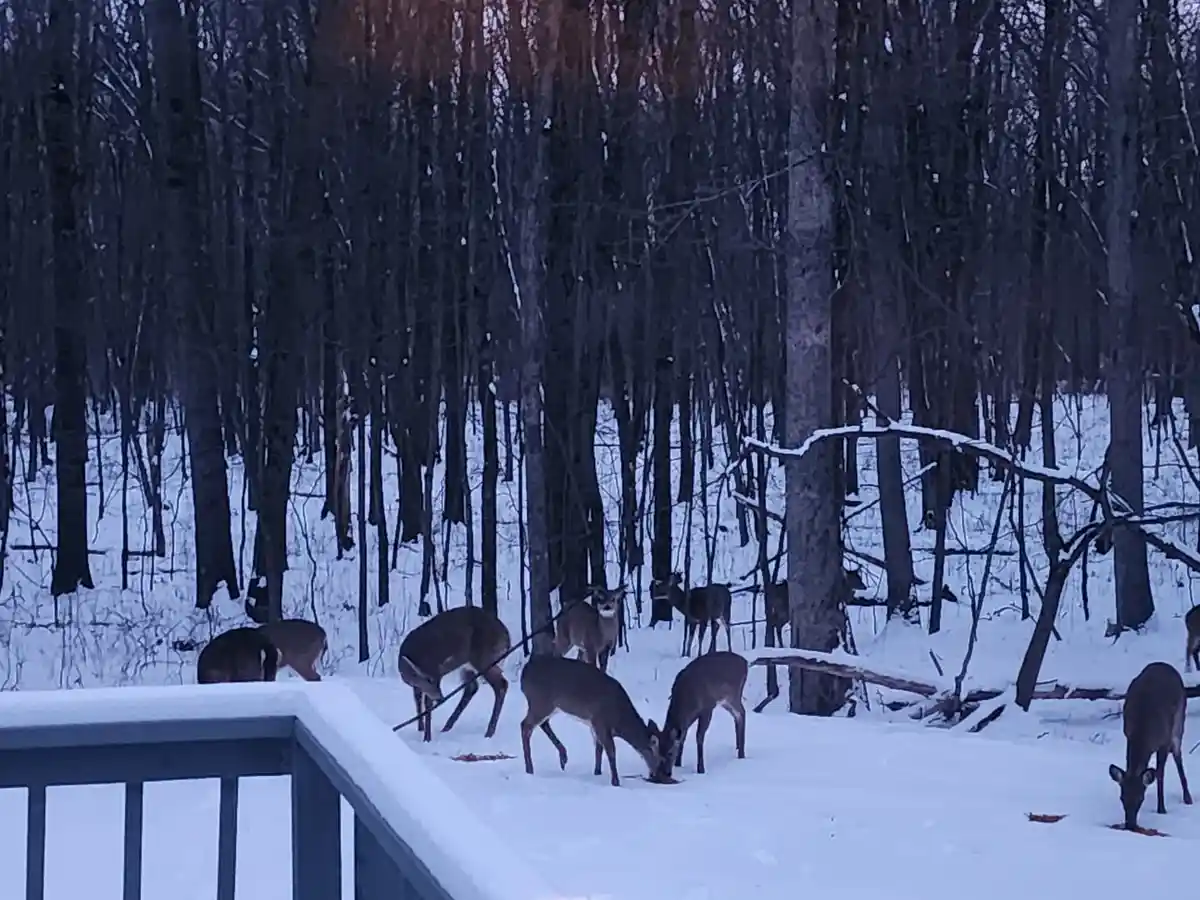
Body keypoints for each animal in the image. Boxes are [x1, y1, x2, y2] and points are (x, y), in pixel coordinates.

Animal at [397, 605, 511, 742]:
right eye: (428, 679)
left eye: (437, 678)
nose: (441, 698)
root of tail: (506, 637)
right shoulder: (418, 686)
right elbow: (417, 700)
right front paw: (420, 728)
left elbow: (427, 704)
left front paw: (427, 738)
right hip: (469, 666)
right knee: (472, 687)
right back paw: (447, 727)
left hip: (484, 657)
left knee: (501, 685)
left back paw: (489, 732)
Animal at [519, 653, 666, 787]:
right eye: (660, 759)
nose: (656, 775)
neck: (620, 718)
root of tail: (524, 673)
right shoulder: (600, 721)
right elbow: (611, 751)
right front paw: (615, 782)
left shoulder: (595, 725)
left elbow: (598, 749)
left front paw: (597, 772)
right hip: (541, 700)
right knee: (525, 725)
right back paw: (530, 769)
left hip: (550, 705)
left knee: (542, 724)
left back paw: (562, 756)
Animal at [1107, 661, 1193, 830]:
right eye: (1122, 797)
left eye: (1141, 798)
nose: (1130, 824)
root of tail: (1163, 664)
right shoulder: (1128, 734)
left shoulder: (1164, 742)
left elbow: (1160, 774)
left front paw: (1162, 809)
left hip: (1179, 721)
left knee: (1178, 753)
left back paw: (1188, 798)